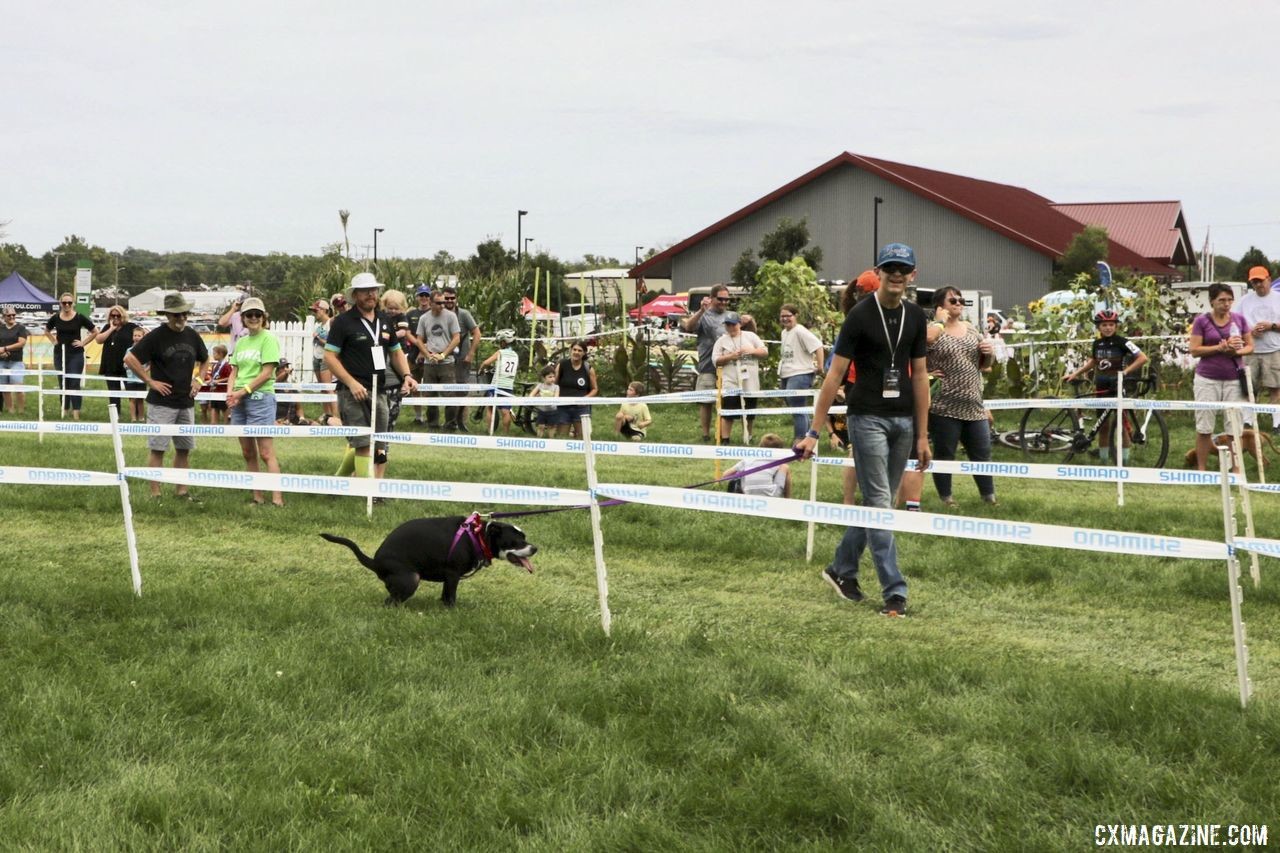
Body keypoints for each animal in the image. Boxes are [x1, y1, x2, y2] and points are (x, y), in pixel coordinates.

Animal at [325, 512, 540, 604]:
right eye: (516, 541)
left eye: (525, 537)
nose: (535, 548)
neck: (478, 536)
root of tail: (375, 562)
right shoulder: (453, 575)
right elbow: (451, 598)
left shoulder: (449, 577)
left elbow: (445, 596)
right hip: (412, 578)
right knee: (390, 601)